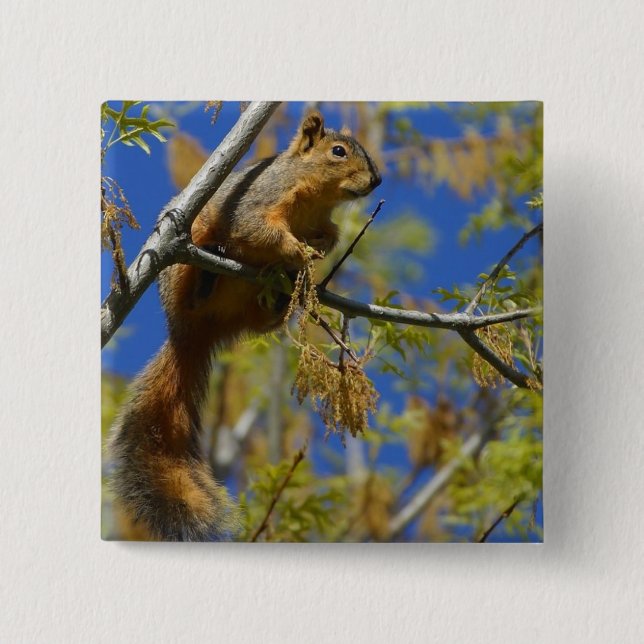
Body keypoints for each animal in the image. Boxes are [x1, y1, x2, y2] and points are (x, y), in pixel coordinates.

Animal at [108, 111, 382, 541]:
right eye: (338, 152)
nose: (376, 181)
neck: (315, 197)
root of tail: (190, 333)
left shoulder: (324, 221)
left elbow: (330, 236)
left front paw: (315, 252)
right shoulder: (258, 200)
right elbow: (257, 228)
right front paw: (296, 250)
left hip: (252, 314)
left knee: (263, 317)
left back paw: (280, 298)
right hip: (186, 255)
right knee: (197, 276)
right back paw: (207, 275)